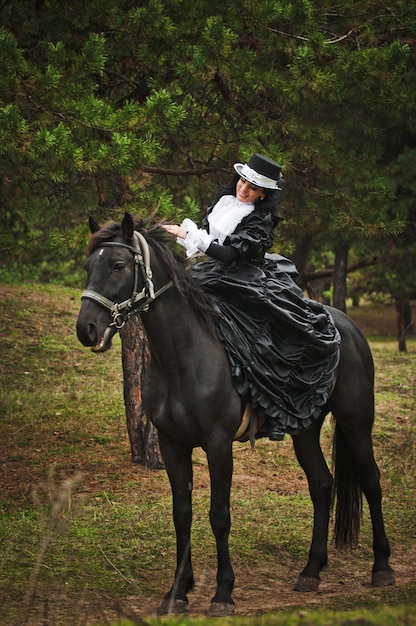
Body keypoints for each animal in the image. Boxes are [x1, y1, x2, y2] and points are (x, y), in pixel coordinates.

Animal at [76, 212, 394, 612]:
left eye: (118, 265)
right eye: (89, 266)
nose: (86, 330)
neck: (185, 354)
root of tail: (348, 326)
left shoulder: (218, 444)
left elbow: (219, 515)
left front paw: (223, 592)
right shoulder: (171, 444)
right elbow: (182, 514)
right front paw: (177, 591)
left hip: (356, 421)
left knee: (371, 482)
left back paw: (382, 567)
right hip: (305, 428)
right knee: (322, 485)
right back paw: (311, 572)